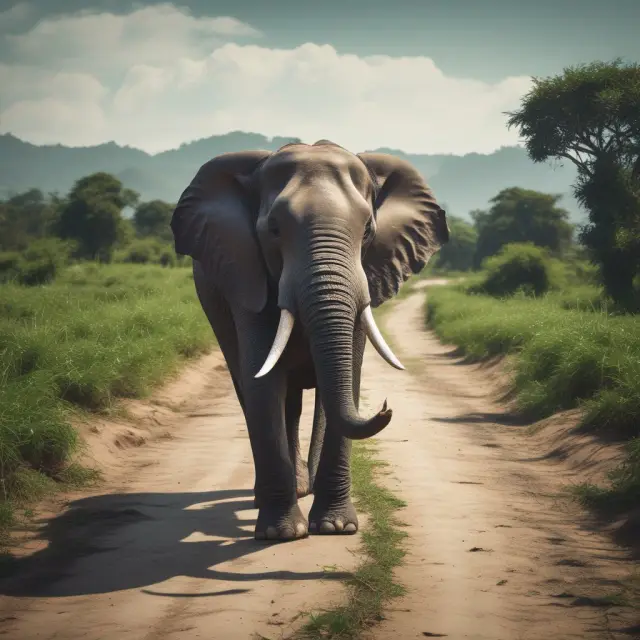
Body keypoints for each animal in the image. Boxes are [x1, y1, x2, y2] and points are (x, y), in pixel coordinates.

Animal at [170, 140, 449, 542]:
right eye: (273, 229)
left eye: (368, 230)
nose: (384, 408)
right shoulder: (247, 273)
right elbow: (263, 382)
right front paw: (281, 534)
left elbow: (347, 375)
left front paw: (336, 527)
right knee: (260, 391)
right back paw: (283, 492)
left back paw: (308, 487)